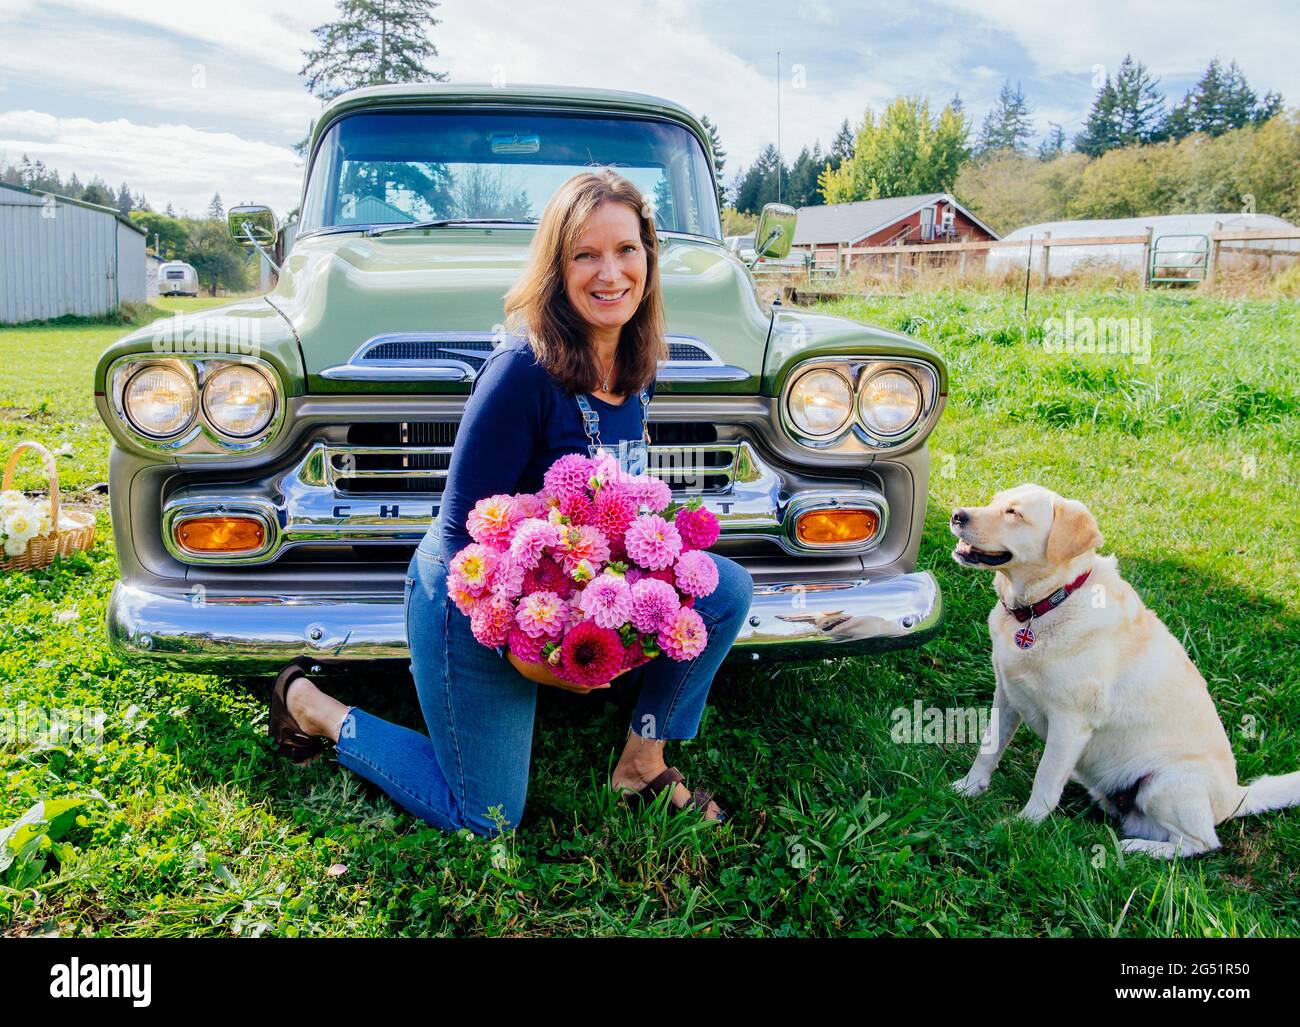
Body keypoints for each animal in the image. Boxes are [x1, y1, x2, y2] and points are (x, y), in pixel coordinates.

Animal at [946, 486, 1300, 857]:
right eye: (994, 501)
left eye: (1014, 513)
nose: (956, 515)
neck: (1046, 605)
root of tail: (1235, 796)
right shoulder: (1007, 695)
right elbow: (988, 749)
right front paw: (969, 787)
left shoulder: (1070, 724)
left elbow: (1044, 780)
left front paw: (1023, 826)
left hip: (1165, 782)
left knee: (1199, 843)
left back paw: (1135, 848)